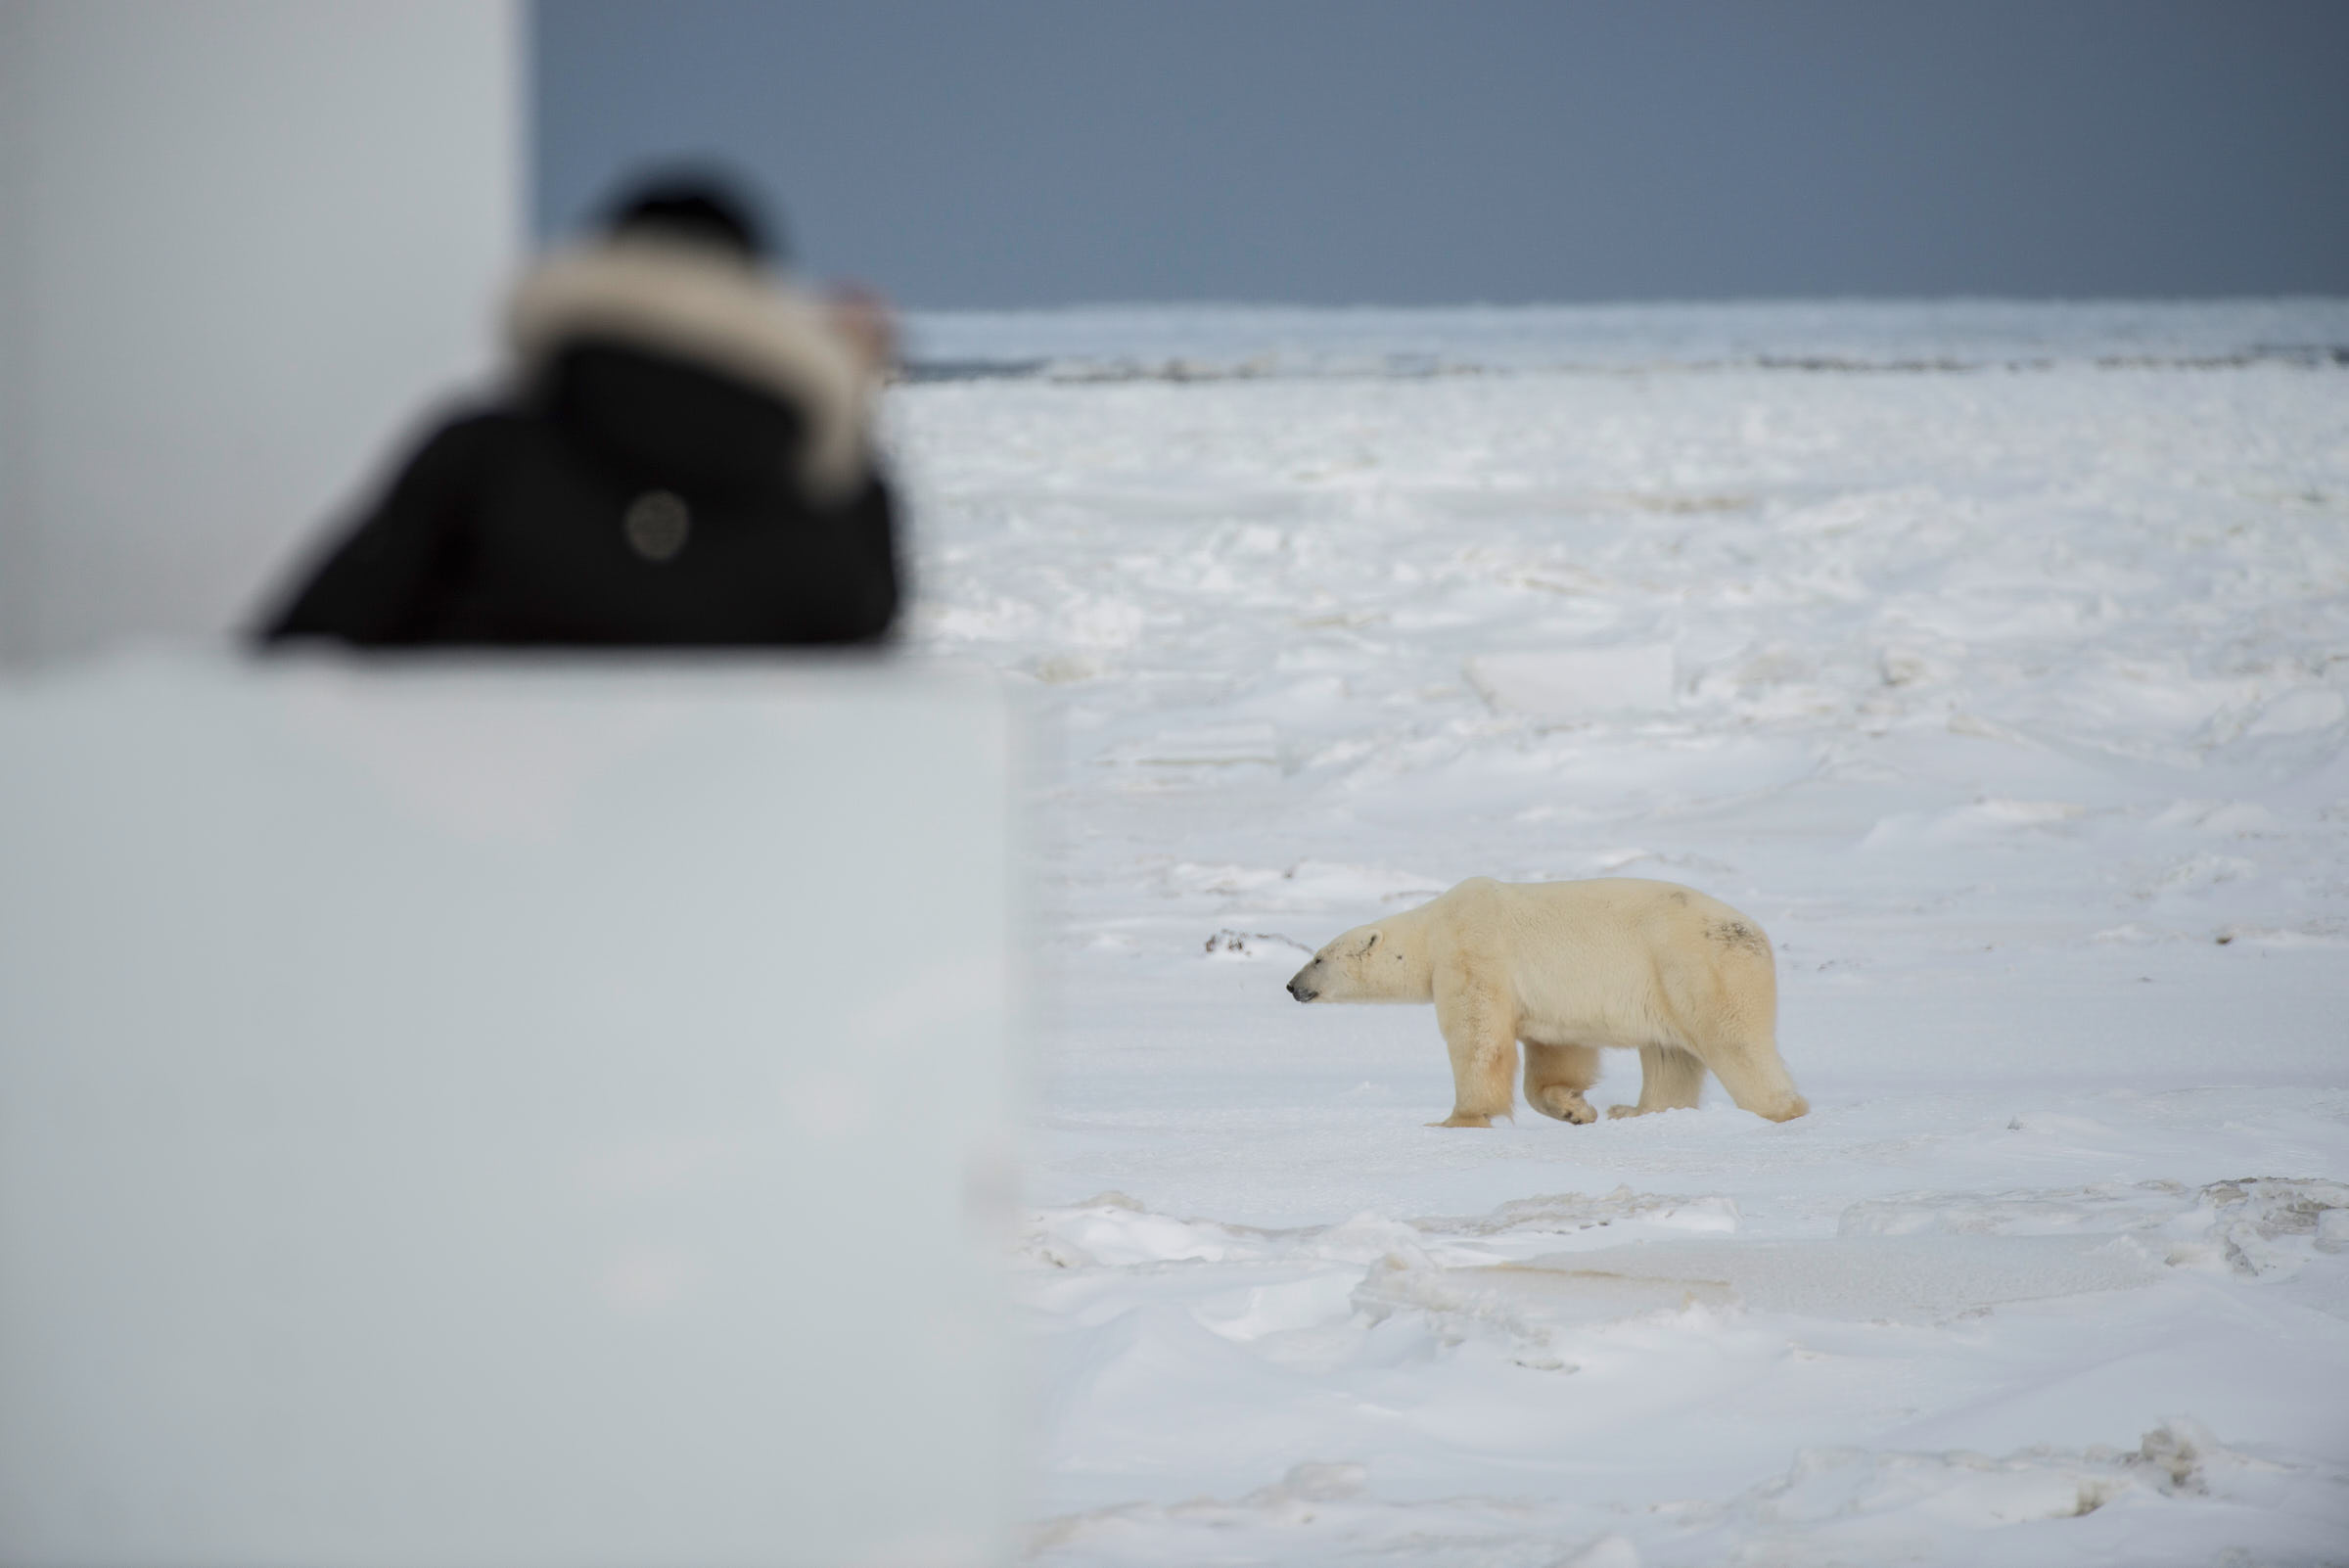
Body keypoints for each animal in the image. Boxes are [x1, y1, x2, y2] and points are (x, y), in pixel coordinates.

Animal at [1285, 877, 1808, 1128]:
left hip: (1699, 967)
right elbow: (1557, 1051)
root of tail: (1757, 935)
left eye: (1317, 957)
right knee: (1668, 1056)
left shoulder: (1474, 951)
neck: (1432, 930)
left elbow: (1478, 1038)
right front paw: (1576, 1109)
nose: (1291, 986)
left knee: (1734, 1042)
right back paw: (1636, 1112)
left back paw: (1782, 1110)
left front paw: (1457, 1119)